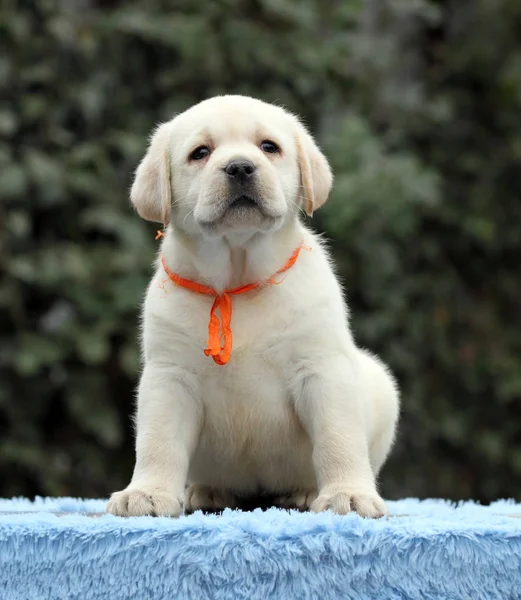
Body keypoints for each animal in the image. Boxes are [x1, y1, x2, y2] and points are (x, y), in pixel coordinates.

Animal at [106, 96, 398, 516]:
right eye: (200, 153)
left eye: (268, 147)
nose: (240, 167)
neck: (237, 280)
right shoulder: (169, 377)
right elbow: (158, 441)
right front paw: (146, 492)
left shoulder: (322, 368)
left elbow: (337, 437)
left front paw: (349, 493)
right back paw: (209, 490)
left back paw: (304, 491)